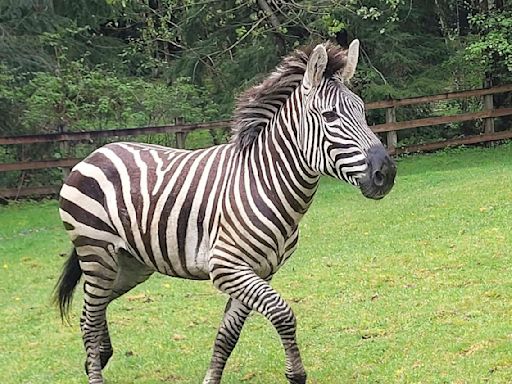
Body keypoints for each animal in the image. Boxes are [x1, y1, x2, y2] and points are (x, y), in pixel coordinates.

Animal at [55, 39, 396, 384]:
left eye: (362, 111)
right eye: (329, 116)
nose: (386, 172)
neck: (265, 183)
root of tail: (95, 153)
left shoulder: (260, 271)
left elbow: (227, 335)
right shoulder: (226, 267)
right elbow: (282, 312)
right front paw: (296, 373)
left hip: (130, 263)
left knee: (93, 309)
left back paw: (99, 355)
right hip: (97, 253)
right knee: (90, 318)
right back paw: (95, 368)